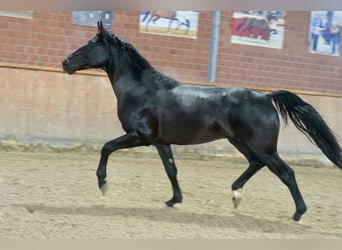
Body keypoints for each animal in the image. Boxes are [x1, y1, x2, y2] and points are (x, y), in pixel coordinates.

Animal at [62, 21, 342, 221]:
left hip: (263, 146)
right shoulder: (160, 142)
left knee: (285, 172)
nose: (65, 63)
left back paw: (298, 213)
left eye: (89, 45)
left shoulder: (139, 137)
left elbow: (106, 147)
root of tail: (265, 96)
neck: (142, 90)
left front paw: (103, 184)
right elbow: (171, 169)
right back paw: (236, 194)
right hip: (240, 141)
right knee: (256, 163)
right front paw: (174, 200)